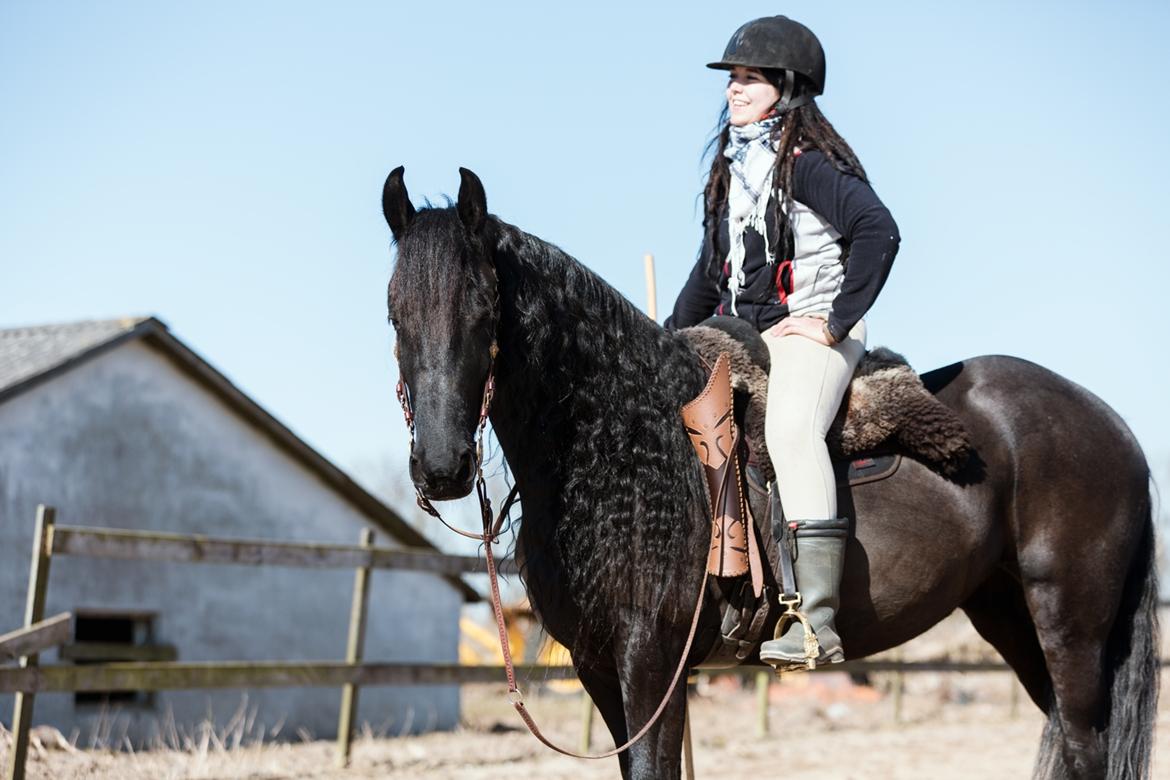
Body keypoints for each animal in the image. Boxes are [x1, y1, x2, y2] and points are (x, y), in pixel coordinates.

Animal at [383, 168, 1160, 776]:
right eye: (395, 312)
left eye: (486, 310)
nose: (443, 467)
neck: (624, 451)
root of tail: (1111, 423)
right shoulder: (600, 667)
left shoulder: (652, 664)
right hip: (1008, 615)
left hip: (1070, 625)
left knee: (1085, 747)